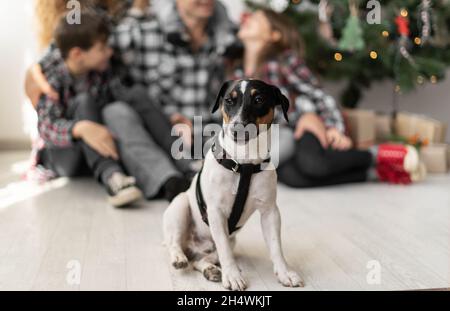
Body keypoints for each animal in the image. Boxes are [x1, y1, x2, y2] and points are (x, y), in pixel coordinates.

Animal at [163, 79, 304, 292]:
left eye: (259, 99)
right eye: (229, 100)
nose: (237, 129)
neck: (244, 163)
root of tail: (193, 247)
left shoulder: (270, 211)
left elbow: (275, 246)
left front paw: (285, 273)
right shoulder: (215, 212)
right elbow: (224, 251)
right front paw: (232, 276)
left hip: (232, 240)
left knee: (199, 260)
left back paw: (210, 270)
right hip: (180, 208)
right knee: (175, 242)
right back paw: (179, 257)